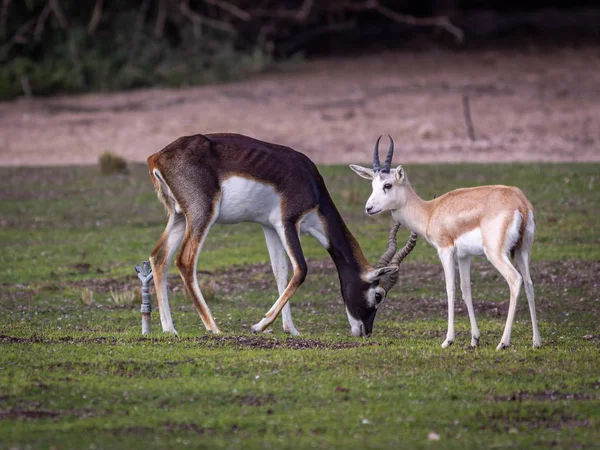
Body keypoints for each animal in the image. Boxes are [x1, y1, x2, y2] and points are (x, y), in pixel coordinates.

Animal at [146, 134, 418, 338]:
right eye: (378, 295)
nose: (365, 331)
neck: (311, 185)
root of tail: (156, 157)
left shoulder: (269, 227)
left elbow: (281, 272)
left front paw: (291, 329)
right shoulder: (288, 222)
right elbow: (301, 269)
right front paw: (260, 325)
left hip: (179, 217)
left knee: (159, 258)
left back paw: (169, 329)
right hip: (202, 214)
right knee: (185, 261)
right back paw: (213, 327)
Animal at [350, 135, 540, 350]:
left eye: (388, 185)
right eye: (373, 185)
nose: (369, 208)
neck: (430, 211)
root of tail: (520, 202)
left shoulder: (445, 250)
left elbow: (450, 289)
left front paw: (448, 340)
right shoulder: (465, 256)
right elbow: (466, 289)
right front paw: (474, 339)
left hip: (496, 253)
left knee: (515, 280)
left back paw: (503, 343)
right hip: (522, 251)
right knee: (529, 283)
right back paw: (536, 341)